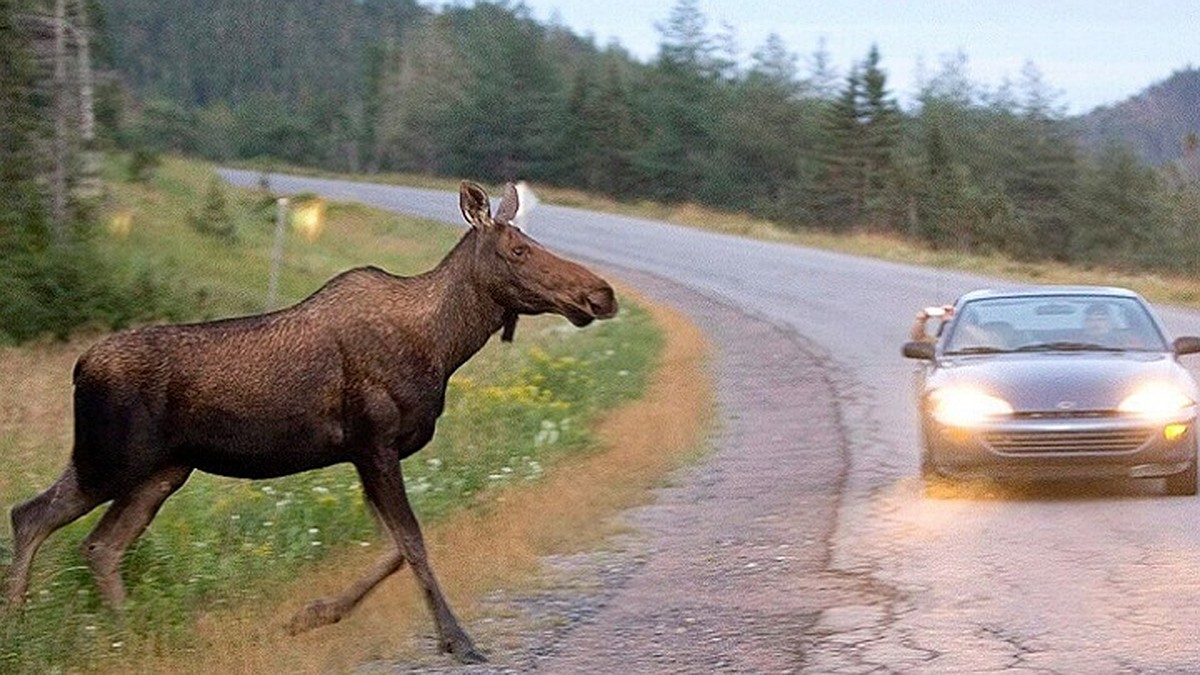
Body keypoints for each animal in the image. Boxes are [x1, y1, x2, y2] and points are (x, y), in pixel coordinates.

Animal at [2, 180, 619, 662]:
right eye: (517, 248)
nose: (602, 293)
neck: (443, 346)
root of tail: (79, 367)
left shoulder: (367, 452)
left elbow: (392, 548)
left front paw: (311, 615)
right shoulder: (374, 440)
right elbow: (413, 542)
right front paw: (458, 640)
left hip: (161, 471)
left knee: (99, 545)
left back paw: (124, 638)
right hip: (110, 459)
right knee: (31, 515)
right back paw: (20, 628)